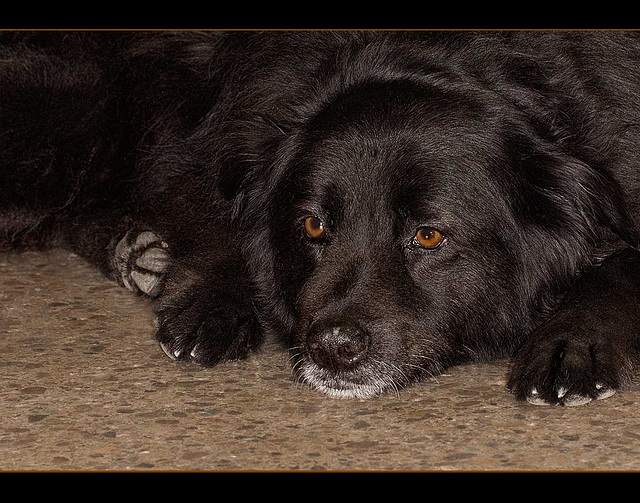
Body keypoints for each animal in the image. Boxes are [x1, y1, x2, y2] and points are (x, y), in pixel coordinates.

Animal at [1, 31, 640, 406]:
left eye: (429, 234)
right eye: (312, 226)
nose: (333, 348)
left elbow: (618, 266)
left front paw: (571, 338)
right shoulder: (208, 141)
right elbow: (217, 218)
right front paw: (215, 299)